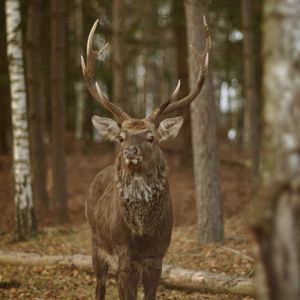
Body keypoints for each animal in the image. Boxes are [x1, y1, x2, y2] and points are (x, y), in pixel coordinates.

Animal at [80, 16, 211, 300]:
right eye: (121, 137)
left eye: (151, 137)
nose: (130, 152)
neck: (142, 234)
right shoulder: (123, 256)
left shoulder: (157, 257)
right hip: (95, 241)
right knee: (99, 285)